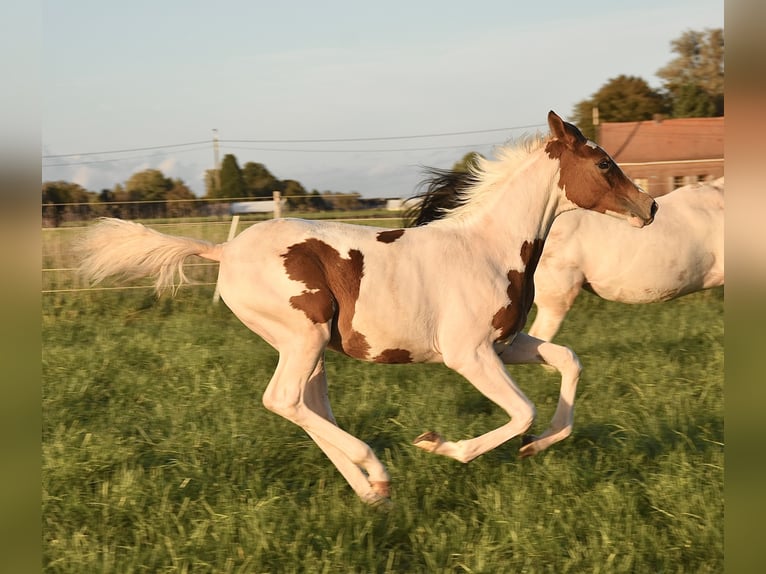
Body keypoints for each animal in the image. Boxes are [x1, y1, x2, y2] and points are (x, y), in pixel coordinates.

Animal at [78, 110, 656, 506]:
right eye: (604, 163)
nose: (649, 206)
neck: (489, 249)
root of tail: (223, 251)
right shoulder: (468, 354)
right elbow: (522, 412)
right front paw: (439, 445)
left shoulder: (506, 345)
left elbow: (567, 361)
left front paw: (538, 447)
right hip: (303, 337)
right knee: (283, 400)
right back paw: (375, 470)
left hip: (310, 349)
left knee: (308, 407)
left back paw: (370, 490)